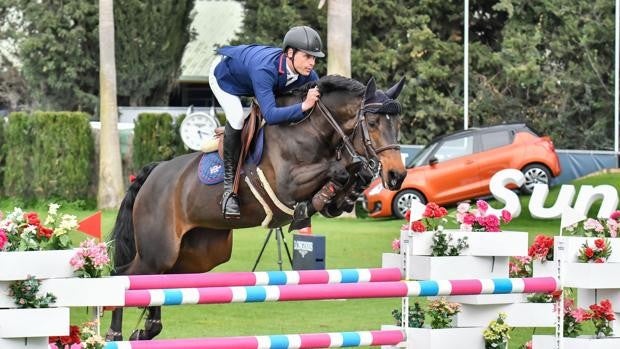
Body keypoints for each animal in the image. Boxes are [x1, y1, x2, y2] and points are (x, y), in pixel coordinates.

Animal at [106, 75, 406, 338]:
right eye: (373, 122)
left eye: (397, 124)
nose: (397, 175)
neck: (311, 129)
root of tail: (154, 174)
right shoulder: (286, 184)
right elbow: (337, 170)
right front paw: (310, 206)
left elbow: (351, 171)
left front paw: (343, 196)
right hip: (158, 251)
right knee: (122, 276)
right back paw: (114, 333)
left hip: (198, 254)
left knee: (159, 283)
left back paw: (147, 329)